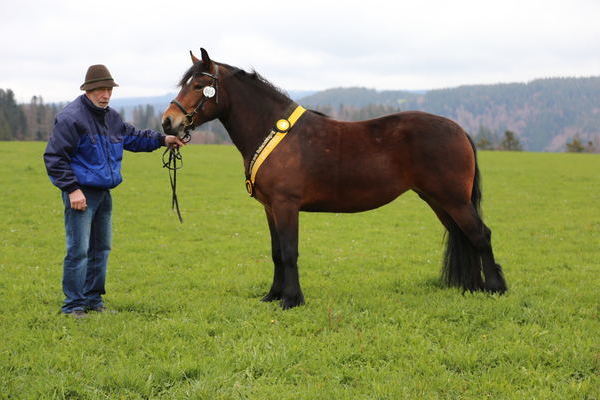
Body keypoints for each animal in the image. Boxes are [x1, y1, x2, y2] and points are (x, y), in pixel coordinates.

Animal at [161, 47, 506, 310]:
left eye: (198, 86)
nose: (168, 122)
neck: (273, 131)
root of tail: (459, 129)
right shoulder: (270, 208)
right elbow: (276, 252)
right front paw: (273, 295)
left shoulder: (286, 205)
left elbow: (289, 251)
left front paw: (291, 300)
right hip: (437, 199)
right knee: (463, 235)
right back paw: (472, 287)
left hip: (453, 199)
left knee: (480, 235)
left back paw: (495, 288)